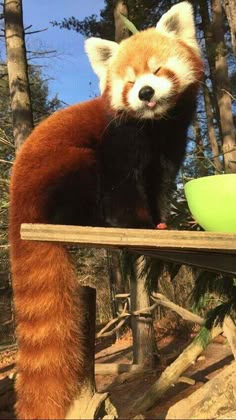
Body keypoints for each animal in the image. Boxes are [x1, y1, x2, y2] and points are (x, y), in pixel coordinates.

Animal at [9, 1, 203, 418]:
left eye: (157, 70)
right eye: (129, 82)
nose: (145, 92)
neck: (153, 126)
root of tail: (17, 202)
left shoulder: (169, 146)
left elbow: (160, 184)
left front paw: (162, 223)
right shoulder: (118, 140)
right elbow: (123, 188)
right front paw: (138, 224)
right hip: (65, 166)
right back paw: (92, 221)